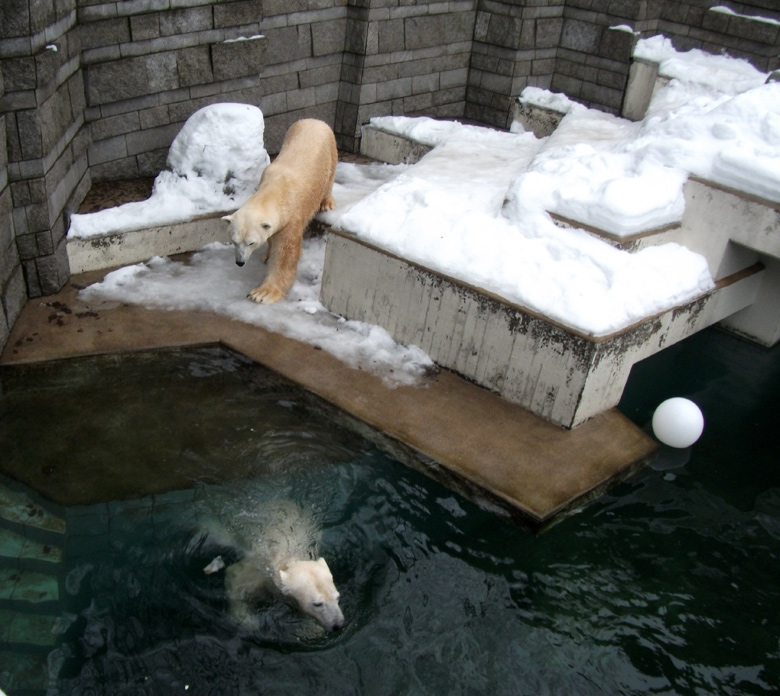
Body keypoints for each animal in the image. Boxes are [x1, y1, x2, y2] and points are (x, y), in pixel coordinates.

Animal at [204, 498, 344, 632]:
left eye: (337, 597)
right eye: (317, 603)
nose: (338, 625)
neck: (288, 559)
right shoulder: (257, 572)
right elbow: (235, 579)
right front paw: (249, 622)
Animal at [222, 117, 338, 304]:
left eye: (251, 243)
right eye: (234, 240)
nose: (239, 262)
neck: (275, 189)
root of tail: (314, 120)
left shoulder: (292, 219)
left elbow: (285, 255)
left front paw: (262, 293)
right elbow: (271, 237)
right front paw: (267, 254)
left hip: (329, 152)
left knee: (329, 179)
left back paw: (327, 202)